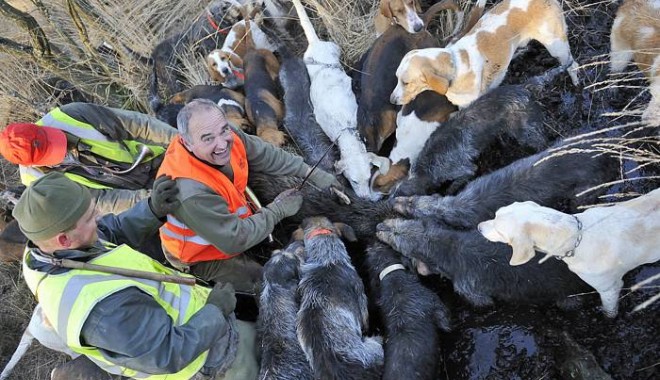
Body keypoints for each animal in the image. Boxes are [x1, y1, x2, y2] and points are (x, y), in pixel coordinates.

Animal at [476, 189, 660, 316]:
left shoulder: (609, 289)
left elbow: (609, 311)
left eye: (499, 231)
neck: (576, 235)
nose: (478, 227)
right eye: (495, 214)